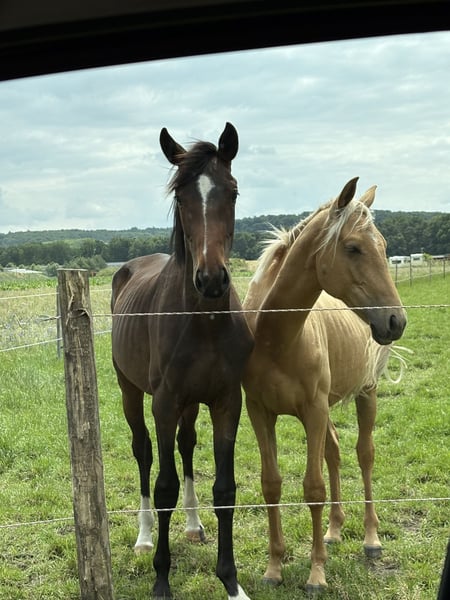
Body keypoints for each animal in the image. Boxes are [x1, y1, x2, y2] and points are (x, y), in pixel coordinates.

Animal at [111, 123, 254, 600]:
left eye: (232, 190)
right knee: (143, 452)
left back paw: (193, 526)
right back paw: (143, 536)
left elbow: (224, 489)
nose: (210, 280)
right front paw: (161, 579)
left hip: (191, 405)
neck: (204, 321)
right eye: (181, 196)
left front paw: (230, 580)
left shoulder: (227, 401)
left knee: (187, 446)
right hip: (131, 392)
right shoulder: (164, 403)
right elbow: (164, 487)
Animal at [242, 177, 407, 593]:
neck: (276, 338)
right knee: (333, 452)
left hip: (366, 394)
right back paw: (333, 531)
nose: (396, 320)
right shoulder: (259, 412)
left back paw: (370, 539)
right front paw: (274, 568)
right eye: (353, 247)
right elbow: (271, 484)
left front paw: (316, 574)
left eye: (384, 247)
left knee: (364, 454)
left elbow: (312, 488)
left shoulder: (313, 410)